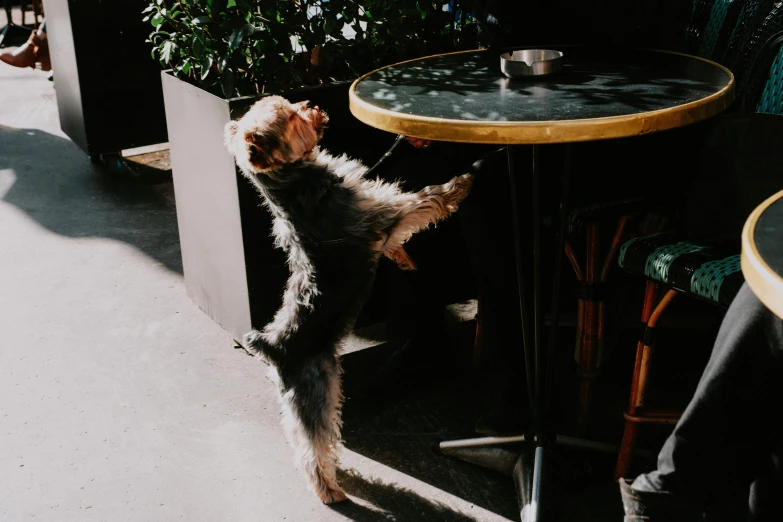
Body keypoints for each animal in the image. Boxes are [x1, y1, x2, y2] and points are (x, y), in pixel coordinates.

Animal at [224, 94, 474, 500]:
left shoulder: (375, 215)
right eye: (290, 116)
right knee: (313, 446)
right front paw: (461, 183)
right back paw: (329, 491)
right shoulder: (380, 214)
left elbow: (397, 238)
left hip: (296, 399)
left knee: (299, 440)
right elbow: (422, 201)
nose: (308, 102)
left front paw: (404, 259)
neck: (295, 185)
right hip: (316, 390)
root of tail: (272, 348)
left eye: (287, 104)